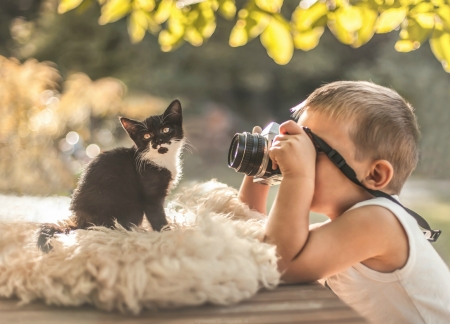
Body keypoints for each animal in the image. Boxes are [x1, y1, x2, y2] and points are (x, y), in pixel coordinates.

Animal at [37, 100, 185, 252]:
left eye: (166, 129)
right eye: (146, 136)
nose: (158, 141)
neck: (160, 159)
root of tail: (79, 222)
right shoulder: (150, 194)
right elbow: (157, 217)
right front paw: (168, 235)